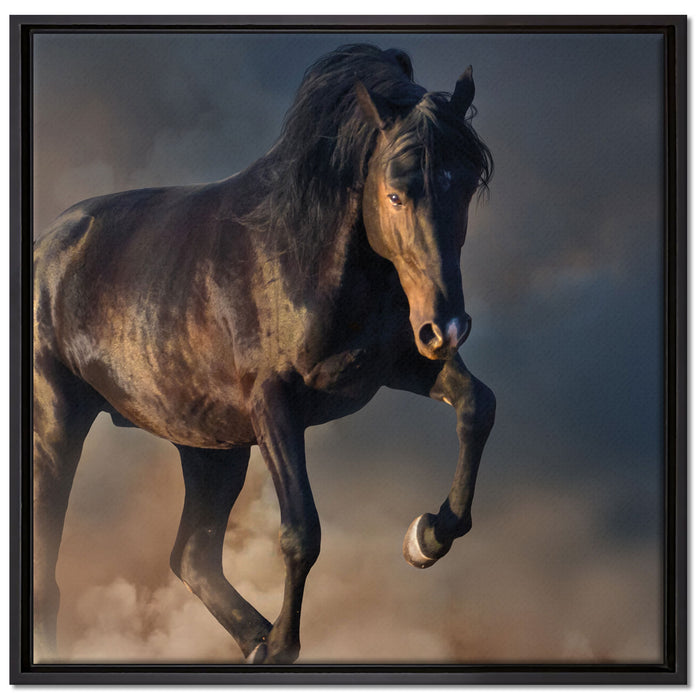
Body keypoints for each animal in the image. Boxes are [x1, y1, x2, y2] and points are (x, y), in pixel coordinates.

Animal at [32, 44, 495, 664]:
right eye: (395, 192)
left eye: (465, 185)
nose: (447, 327)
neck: (305, 257)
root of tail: (44, 248)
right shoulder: (274, 405)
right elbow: (302, 531)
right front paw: (281, 646)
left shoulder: (398, 366)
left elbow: (477, 405)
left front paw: (427, 536)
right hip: (56, 428)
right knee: (49, 574)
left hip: (211, 447)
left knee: (193, 557)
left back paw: (250, 639)